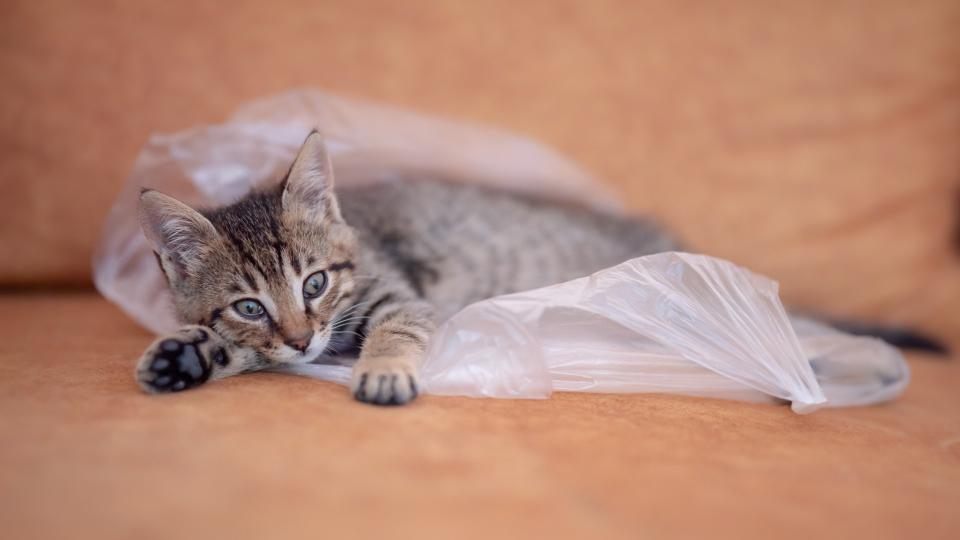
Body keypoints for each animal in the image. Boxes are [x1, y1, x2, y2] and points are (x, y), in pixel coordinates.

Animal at [135, 129, 680, 402]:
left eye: (314, 284)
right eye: (249, 307)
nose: (301, 339)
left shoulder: (399, 294)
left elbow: (396, 328)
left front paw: (385, 368)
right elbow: (254, 350)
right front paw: (184, 356)